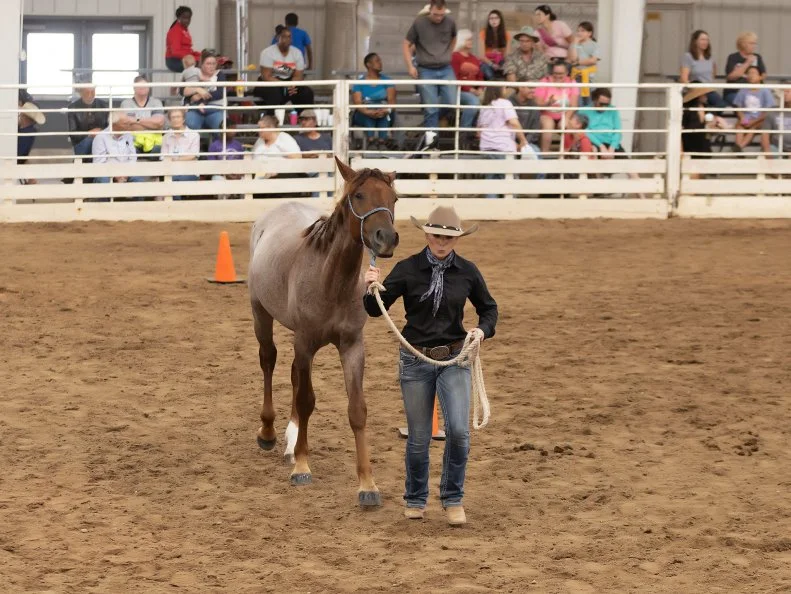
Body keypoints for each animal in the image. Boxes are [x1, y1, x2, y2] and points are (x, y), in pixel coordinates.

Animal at [248, 157, 399, 508]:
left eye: (394, 199)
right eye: (358, 195)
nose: (386, 238)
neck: (331, 280)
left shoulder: (352, 346)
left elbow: (357, 410)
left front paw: (367, 485)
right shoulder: (305, 342)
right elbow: (306, 400)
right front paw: (302, 468)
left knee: (292, 374)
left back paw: (290, 441)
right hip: (261, 313)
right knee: (268, 361)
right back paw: (268, 433)